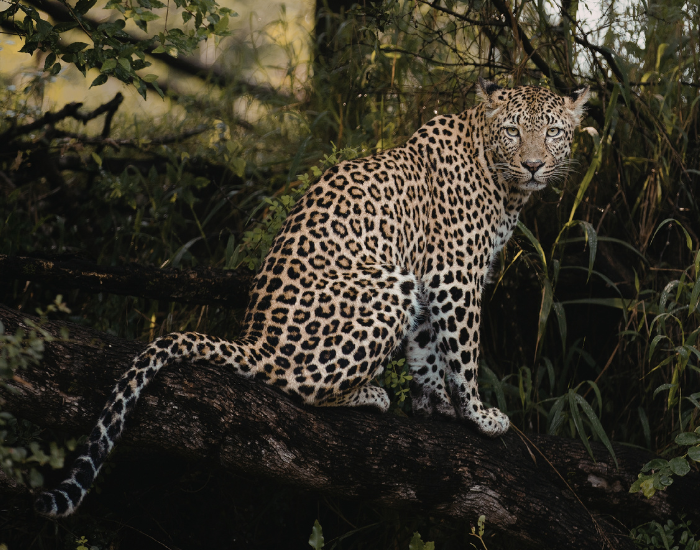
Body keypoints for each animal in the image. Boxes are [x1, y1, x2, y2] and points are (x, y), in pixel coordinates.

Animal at [35, 78, 589, 517]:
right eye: (513, 131)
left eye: (553, 132)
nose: (534, 165)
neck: (500, 180)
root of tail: (256, 340)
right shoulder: (452, 273)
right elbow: (463, 350)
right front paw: (478, 414)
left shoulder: (430, 277)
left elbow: (428, 350)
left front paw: (436, 405)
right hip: (389, 285)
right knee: (300, 387)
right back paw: (370, 395)